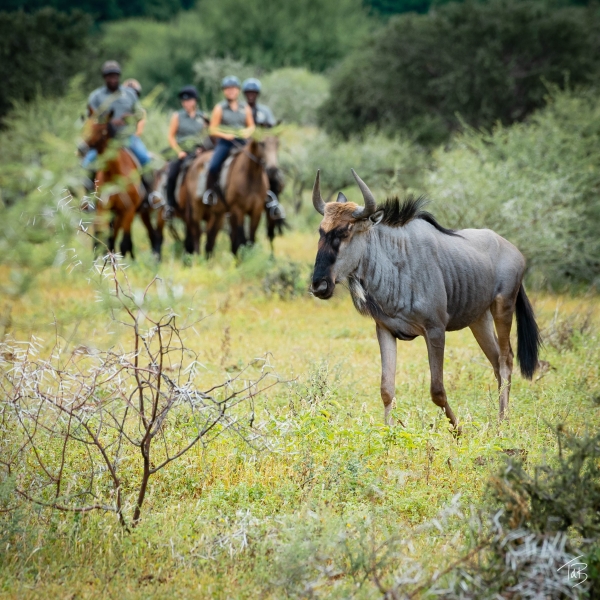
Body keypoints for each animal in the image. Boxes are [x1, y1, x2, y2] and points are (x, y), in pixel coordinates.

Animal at [82, 115, 157, 258]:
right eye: (85, 127)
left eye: (102, 131)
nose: (81, 147)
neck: (114, 173)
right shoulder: (103, 209)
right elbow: (102, 239)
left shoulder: (128, 210)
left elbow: (125, 243)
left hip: (138, 212)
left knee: (150, 235)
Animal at [308, 169, 540, 432]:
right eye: (321, 231)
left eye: (345, 231)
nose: (319, 285)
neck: (396, 266)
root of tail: (515, 251)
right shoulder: (385, 330)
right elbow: (386, 389)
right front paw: (389, 433)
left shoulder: (435, 330)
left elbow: (437, 390)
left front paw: (458, 431)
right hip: (479, 320)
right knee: (496, 362)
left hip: (503, 307)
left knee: (506, 360)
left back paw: (503, 423)